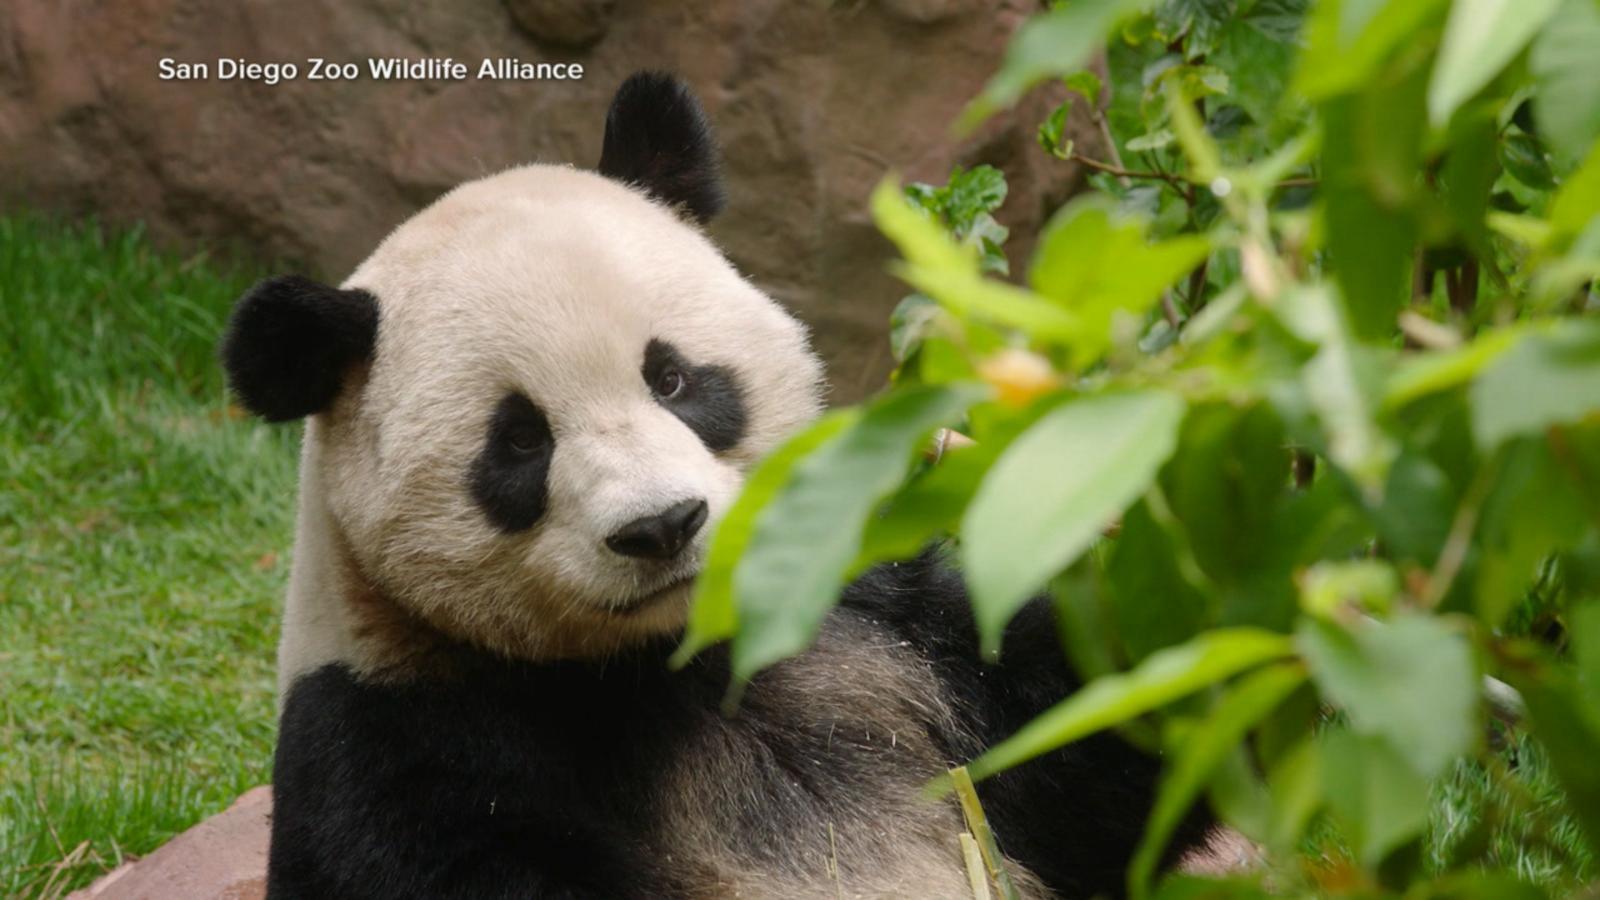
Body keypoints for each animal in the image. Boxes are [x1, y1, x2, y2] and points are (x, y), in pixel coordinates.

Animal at [221, 72, 1210, 900]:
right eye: (519, 441)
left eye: (673, 379)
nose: (664, 525)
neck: (676, 656)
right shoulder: (399, 734)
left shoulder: (876, 618)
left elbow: (1097, 742)